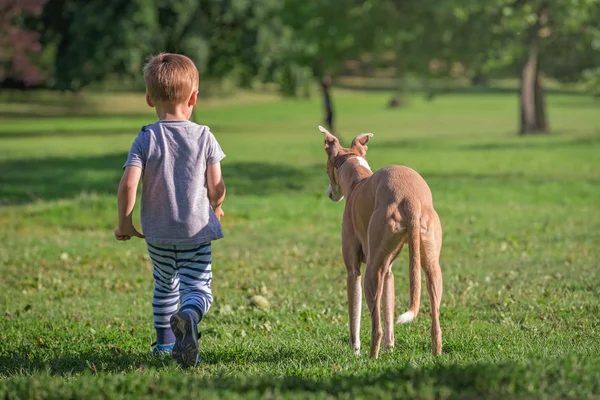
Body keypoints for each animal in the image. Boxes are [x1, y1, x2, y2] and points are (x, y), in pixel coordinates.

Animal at [322, 125, 442, 356]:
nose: (330, 194)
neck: (358, 179)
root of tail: (411, 199)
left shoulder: (353, 271)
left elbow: (355, 317)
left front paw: (355, 352)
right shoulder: (389, 273)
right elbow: (389, 316)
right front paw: (390, 349)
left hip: (371, 271)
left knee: (375, 326)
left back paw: (371, 357)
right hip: (431, 266)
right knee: (436, 321)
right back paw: (436, 353)